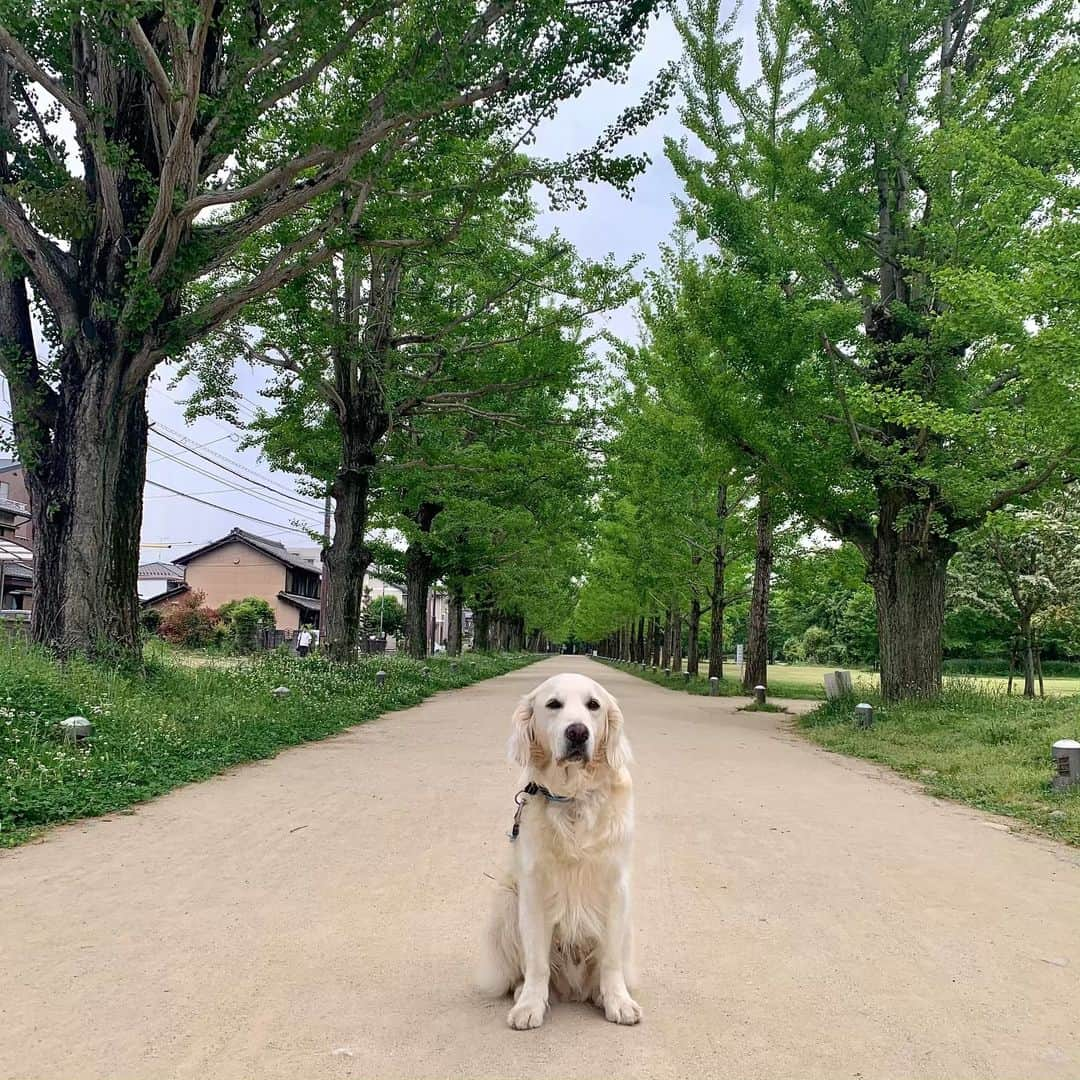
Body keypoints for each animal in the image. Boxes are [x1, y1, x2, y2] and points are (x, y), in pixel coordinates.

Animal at [477, 669, 635, 1032]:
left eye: (593, 705)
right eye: (553, 704)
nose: (577, 732)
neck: (573, 796)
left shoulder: (615, 887)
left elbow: (610, 960)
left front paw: (618, 1001)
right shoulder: (534, 889)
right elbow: (536, 961)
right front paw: (530, 1005)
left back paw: (599, 994)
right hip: (507, 902)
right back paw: (522, 991)